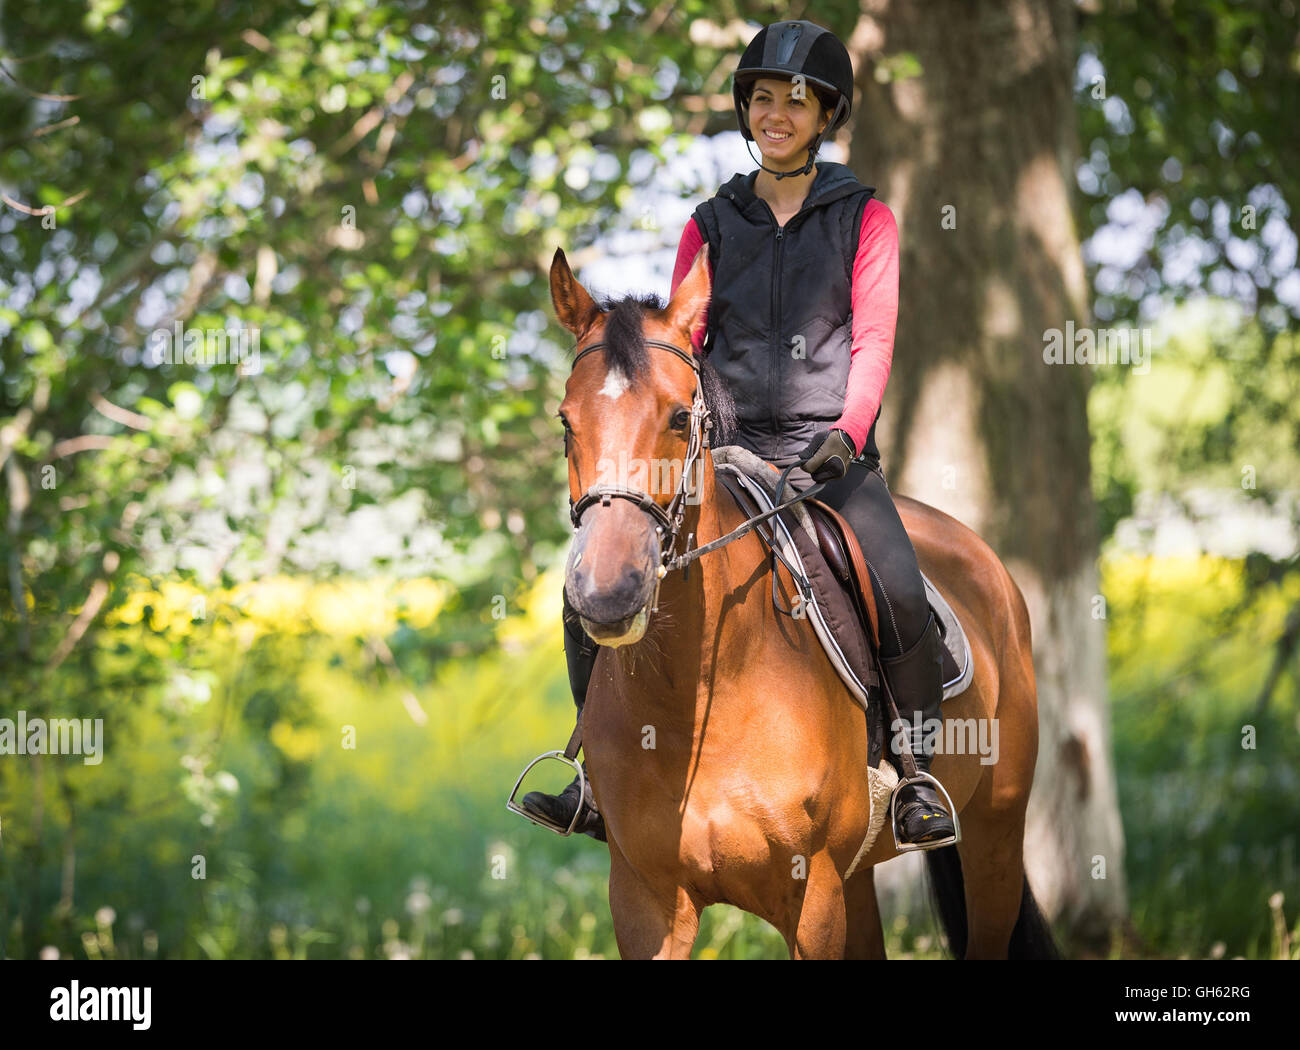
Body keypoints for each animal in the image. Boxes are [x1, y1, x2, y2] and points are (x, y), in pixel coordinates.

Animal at [546, 240, 1055, 961]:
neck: (698, 694)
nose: (606, 591)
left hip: (994, 837)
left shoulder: (811, 897)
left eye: (679, 416)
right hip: (859, 876)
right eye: (567, 421)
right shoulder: (645, 903)